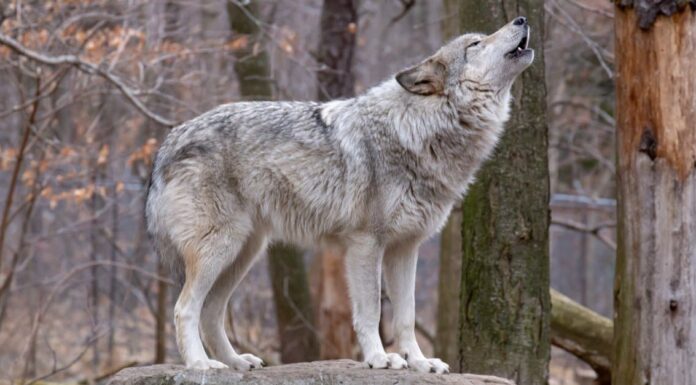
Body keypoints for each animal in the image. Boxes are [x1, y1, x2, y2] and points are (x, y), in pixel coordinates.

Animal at [147, 17, 536, 372]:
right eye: (475, 44)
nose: (521, 18)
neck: (418, 129)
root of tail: (170, 140)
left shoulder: (405, 248)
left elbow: (406, 317)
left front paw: (420, 363)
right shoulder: (366, 245)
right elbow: (370, 312)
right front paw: (380, 358)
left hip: (244, 253)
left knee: (211, 312)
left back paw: (236, 362)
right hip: (220, 249)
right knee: (185, 308)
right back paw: (200, 365)